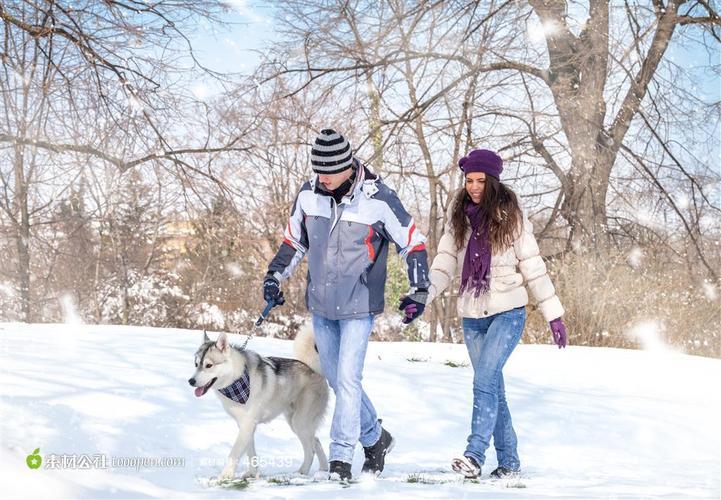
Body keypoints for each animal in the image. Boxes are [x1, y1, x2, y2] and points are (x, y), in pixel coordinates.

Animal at [188, 326, 330, 478]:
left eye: (208, 365)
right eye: (196, 364)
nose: (191, 381)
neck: (236, 379)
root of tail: (313, 369)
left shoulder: (248, 425)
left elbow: (235, 452)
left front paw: (225, 476)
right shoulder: (245, 425)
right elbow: (250, 453)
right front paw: (252, 473)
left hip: (300, 422)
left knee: (310, 450)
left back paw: (301, 472)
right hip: (296, 422)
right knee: (316, 441)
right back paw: (323, 469)